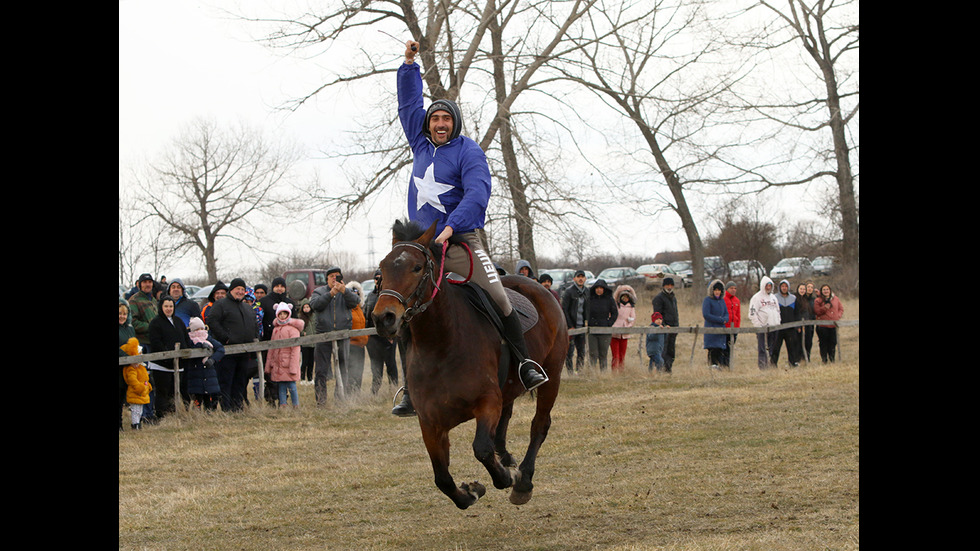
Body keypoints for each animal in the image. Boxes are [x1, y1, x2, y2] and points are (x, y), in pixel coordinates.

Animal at [372, 220, 568, 508]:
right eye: (382, 269)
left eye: (417, 267)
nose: (383, 318)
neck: (441, 346)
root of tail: (536, 285)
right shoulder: (430, 424)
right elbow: (442, 477)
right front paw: (470, 492)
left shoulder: (487, 402)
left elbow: (482, 449)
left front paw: (506, 477)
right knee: (506, 420)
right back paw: (507, 458)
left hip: (552, 376)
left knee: (539, 425)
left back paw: (523, 481)